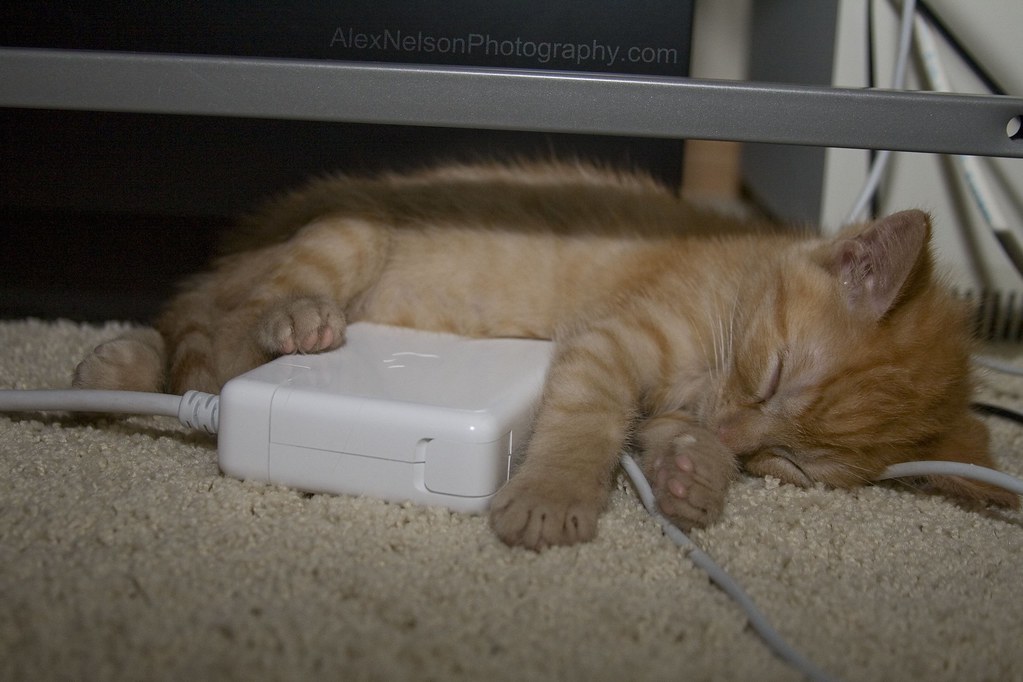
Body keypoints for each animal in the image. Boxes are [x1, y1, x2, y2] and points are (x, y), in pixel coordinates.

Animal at [72, 160, 1014, 548]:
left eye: (789, 463)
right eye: (775, 375)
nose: (737, 440)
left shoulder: (680, 398)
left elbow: (669, 433)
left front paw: (695, 475)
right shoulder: (615, 338)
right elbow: (588, 420)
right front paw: (554, 497)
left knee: (193, 345)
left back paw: (109, 370)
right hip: (343, 237)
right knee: (225, 328)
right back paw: (282, 321)